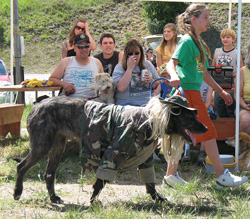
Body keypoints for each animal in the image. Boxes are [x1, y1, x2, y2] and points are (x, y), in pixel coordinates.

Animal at [13, 95, 207, 204]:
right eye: (191, 117)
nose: (206, 128)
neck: (149, 120)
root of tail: (37, 105)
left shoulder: (145, 160)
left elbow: (150, 184)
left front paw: (158, 199)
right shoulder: (112, 154)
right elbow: (100, 182)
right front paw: (92, 201)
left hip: (58, 148)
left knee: (49, 174)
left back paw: (53, 198)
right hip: (42, 146)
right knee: (21, 166)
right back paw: (17, 192)